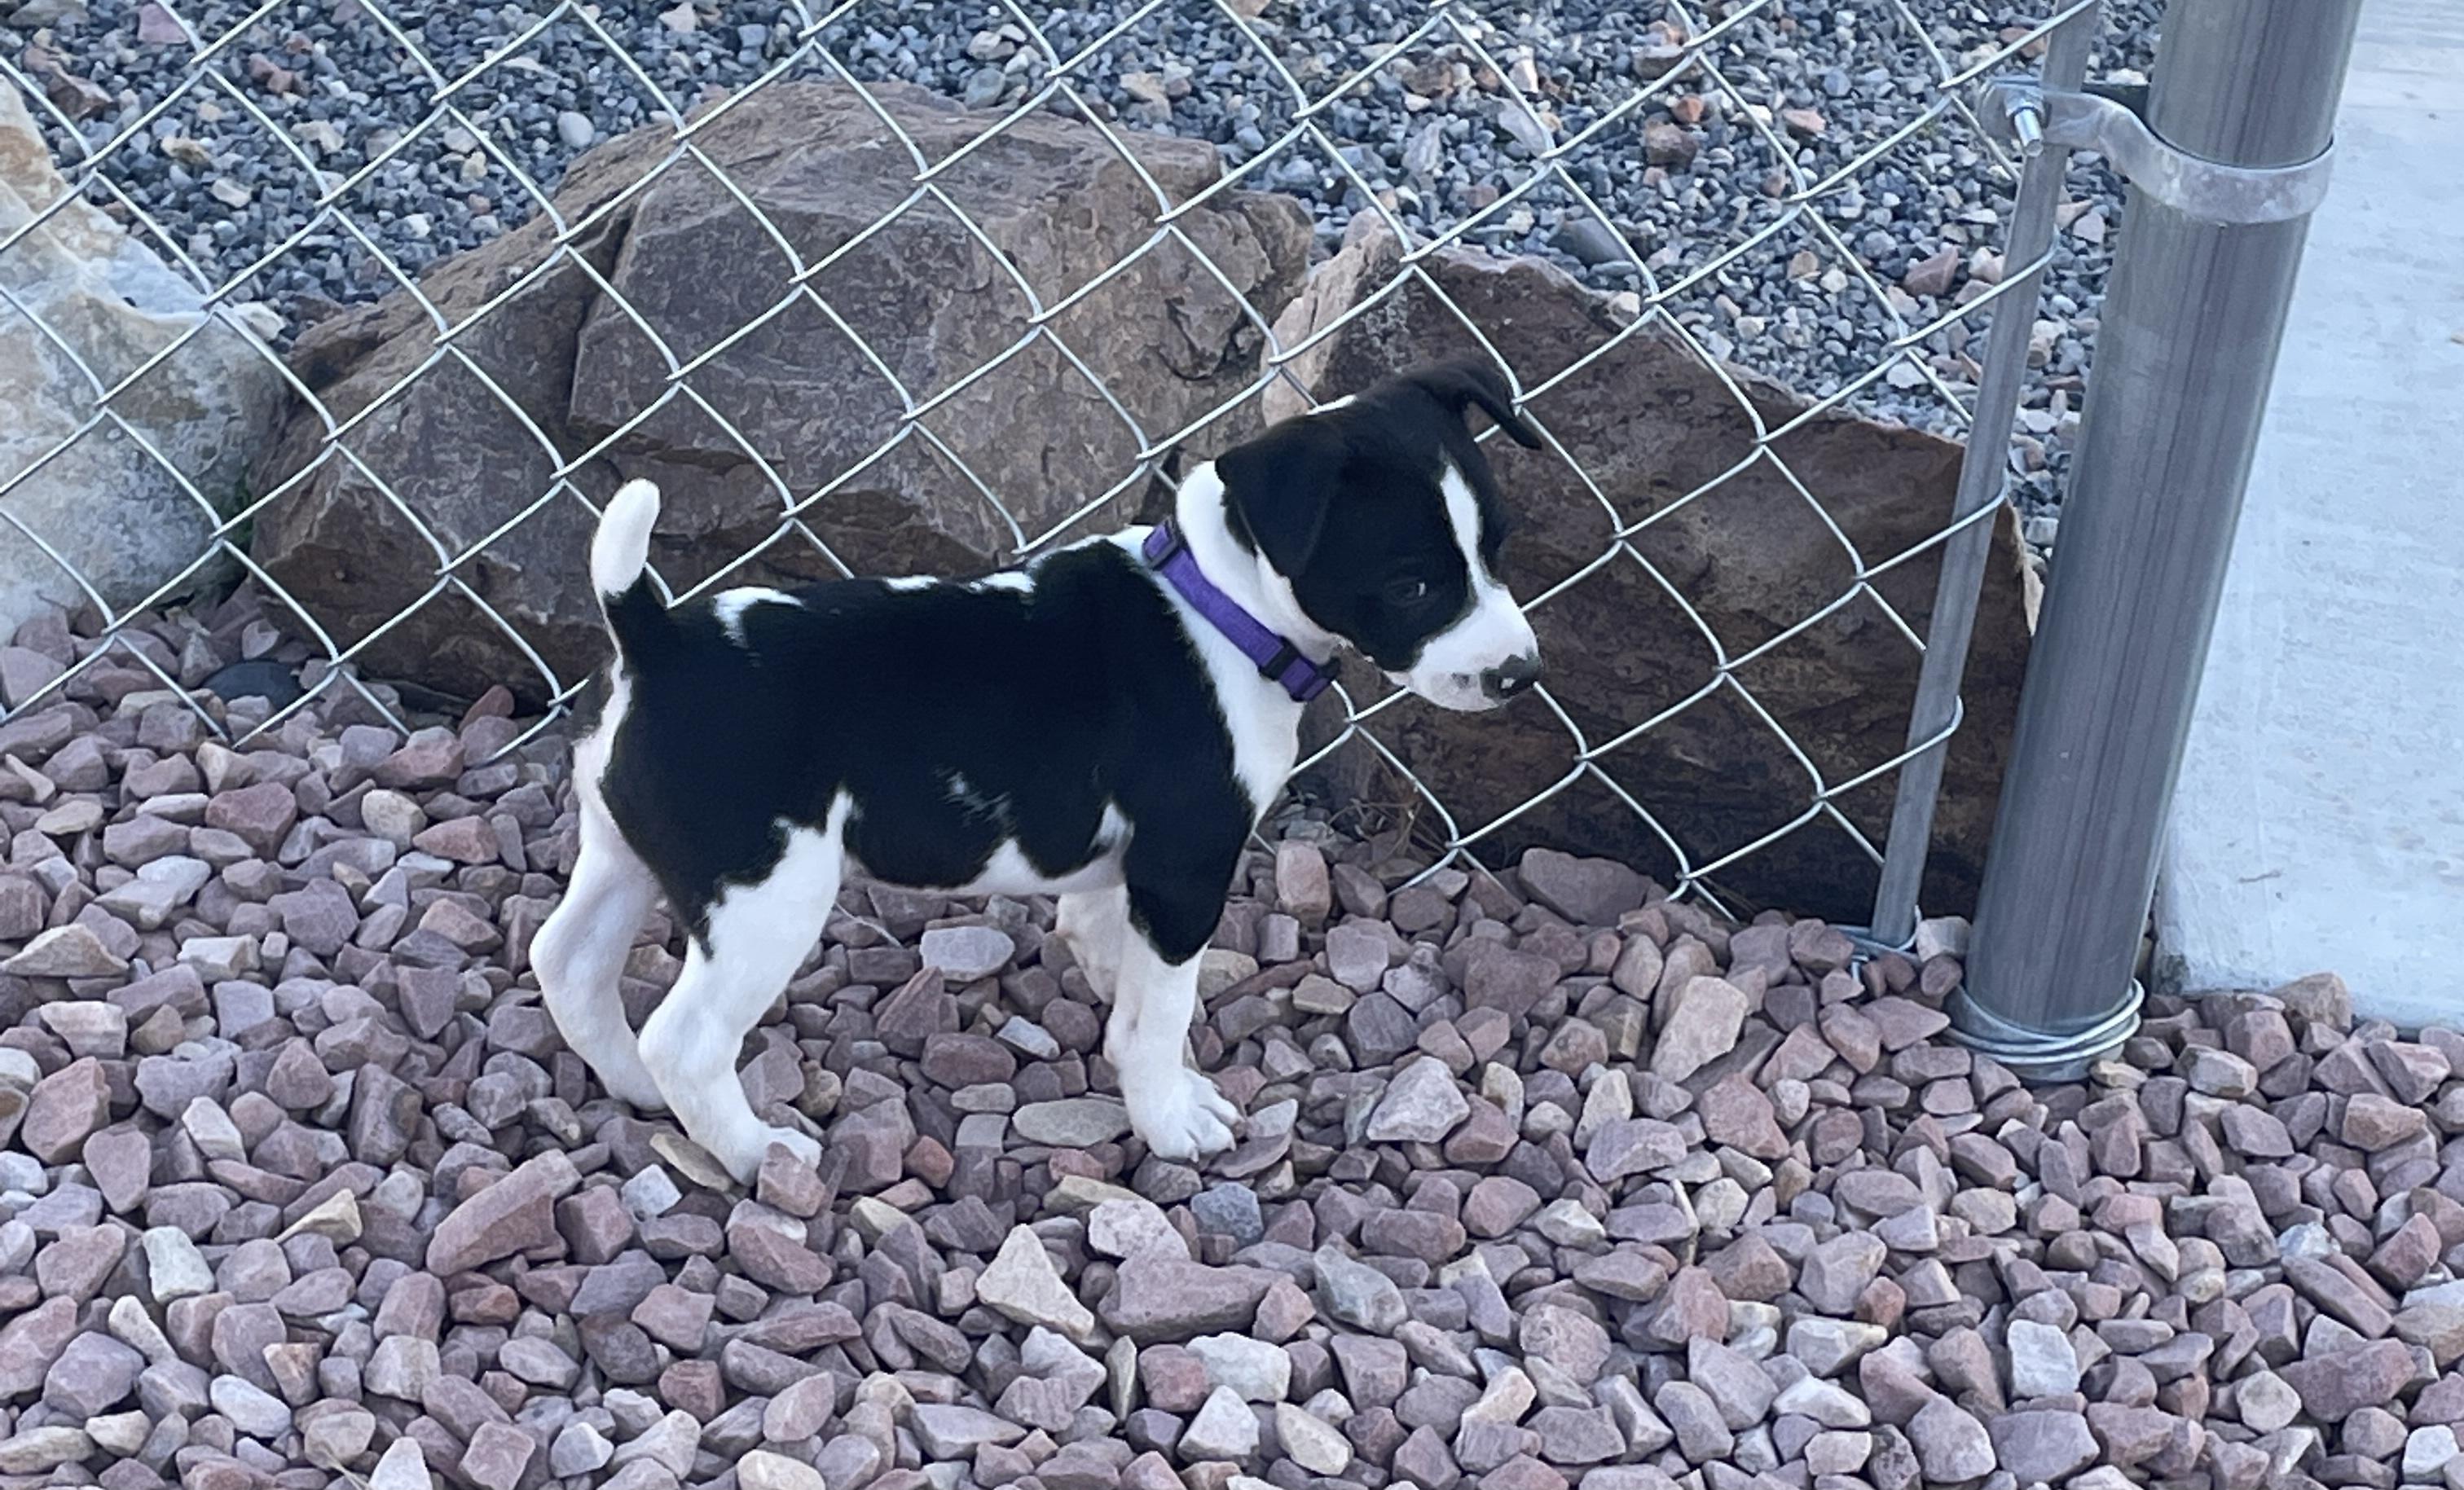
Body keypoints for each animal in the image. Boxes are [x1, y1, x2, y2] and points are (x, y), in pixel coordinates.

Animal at [529, 359, 1548, 1182]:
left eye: (1496, 548)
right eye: (1414, 583)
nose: (1520, 673)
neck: (1222, 606)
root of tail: (656, 639)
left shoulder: (1115, 874)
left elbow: (1121, 970)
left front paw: (1147, 1048)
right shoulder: (1185, 867)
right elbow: (1158, 1011)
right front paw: (1170, 1117)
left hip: (627, 852)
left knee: (567, 962)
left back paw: (633, 1085)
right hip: (764, 897)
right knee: (687, 1036)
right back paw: (756, 1152)